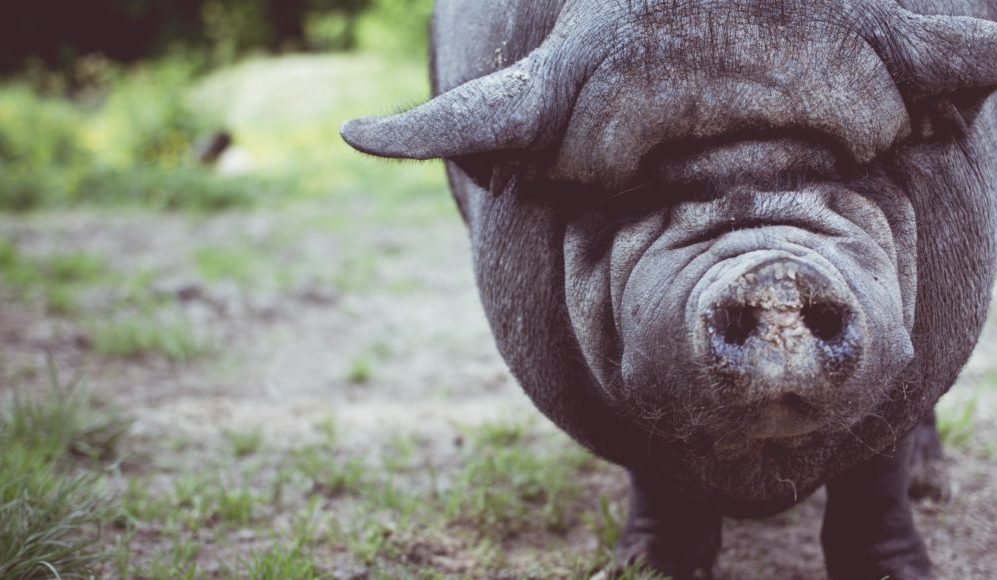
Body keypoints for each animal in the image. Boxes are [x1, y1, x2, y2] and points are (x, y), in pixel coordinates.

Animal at [340, 0, 997, 578]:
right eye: (637, 191)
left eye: (849, 166)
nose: (772, 274)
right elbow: (657, 475)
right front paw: (645, 569)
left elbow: (876, 475)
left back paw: (931, 485)